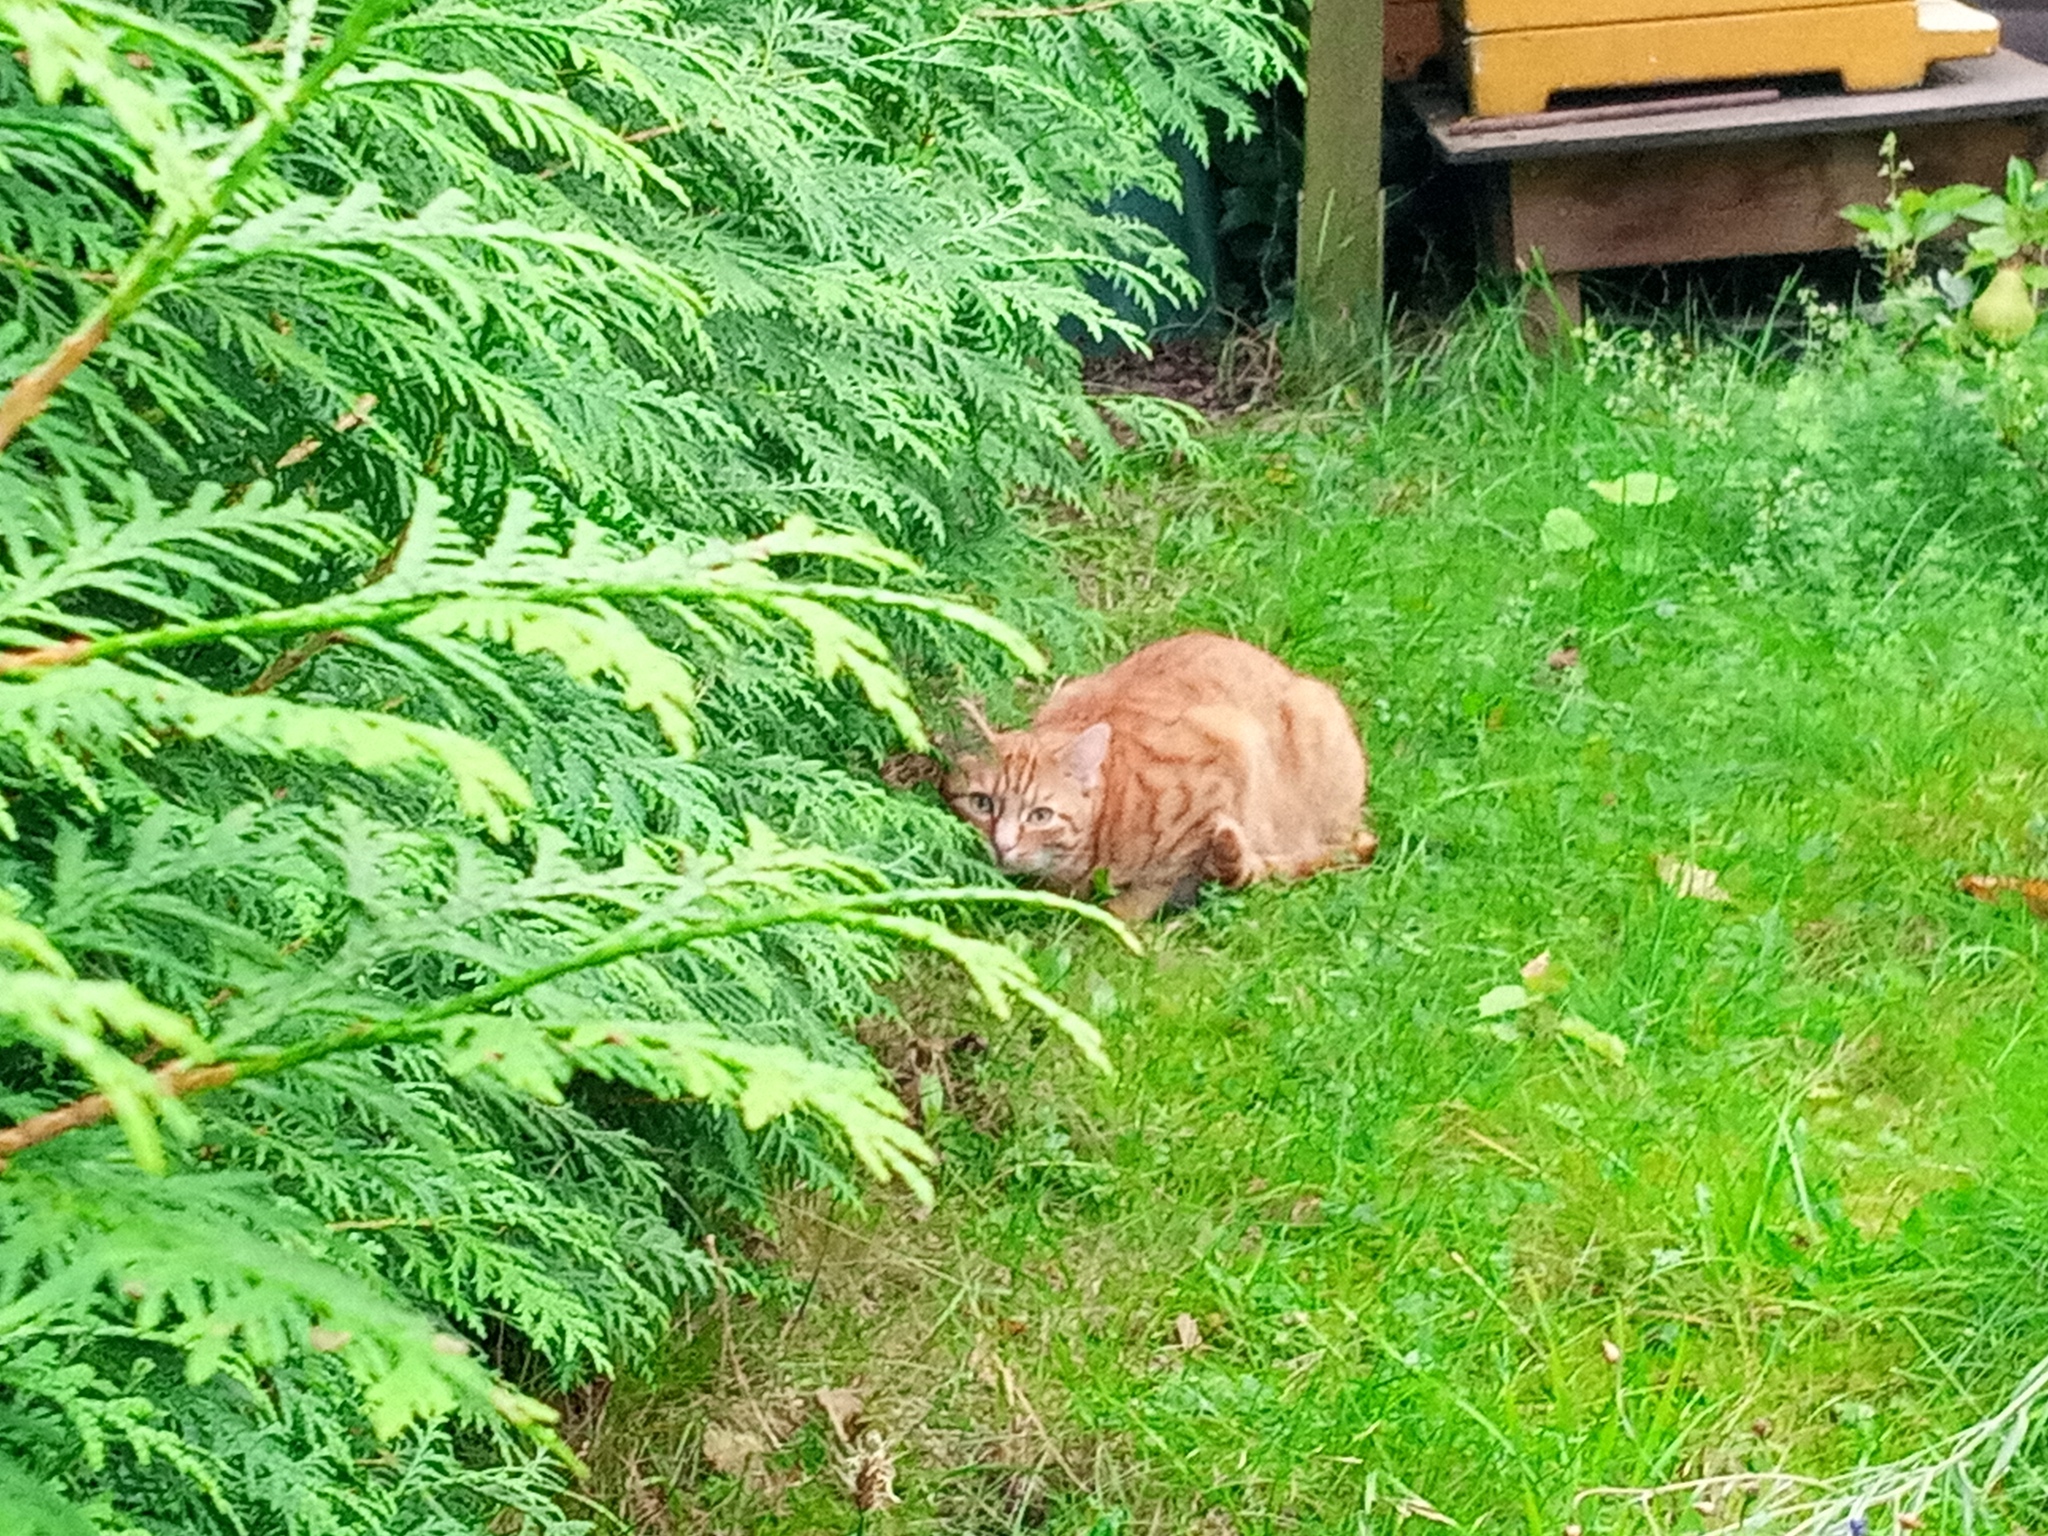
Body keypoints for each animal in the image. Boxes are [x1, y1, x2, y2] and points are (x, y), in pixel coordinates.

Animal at [942, 632, 1376, 922]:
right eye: (982, 803)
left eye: (1040, 815)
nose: (1002, 845)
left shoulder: (1230, 753)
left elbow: (1163, 875)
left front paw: (1122, 918)